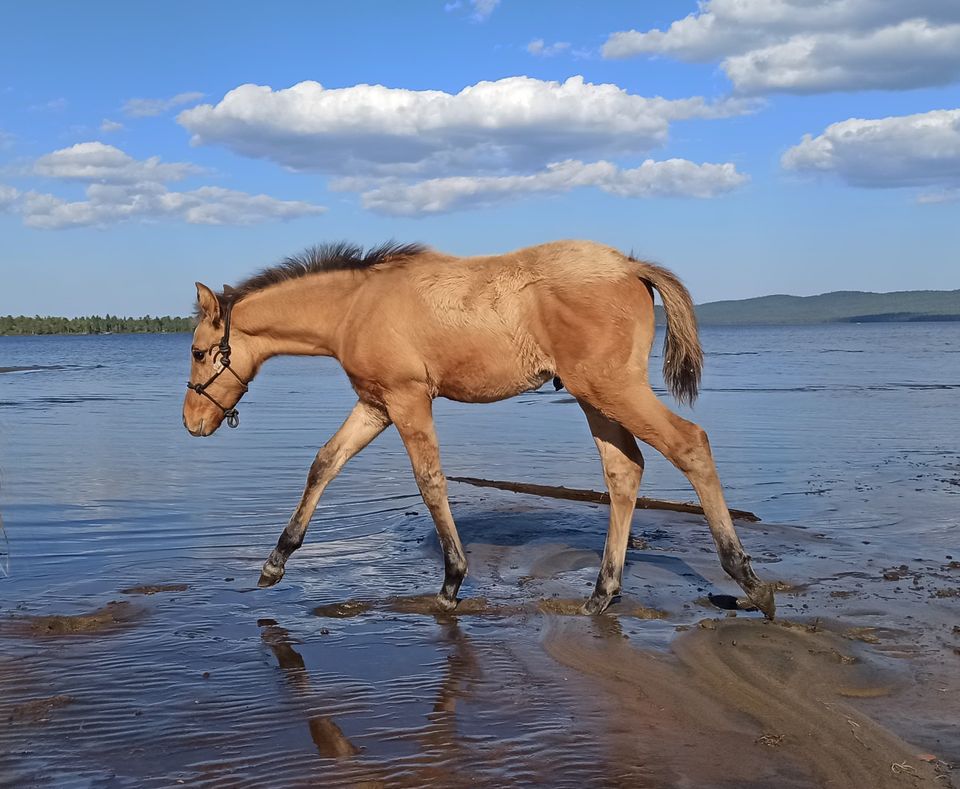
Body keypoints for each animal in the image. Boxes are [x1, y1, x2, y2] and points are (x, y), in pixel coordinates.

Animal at [184, 240, 776, 616]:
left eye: (197, 352)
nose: (192, 423)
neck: (355, 306)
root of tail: (631, 266)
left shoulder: (408, 400)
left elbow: (430, 481)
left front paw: (452, 580)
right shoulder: (375, 404)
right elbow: (324, 463)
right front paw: (274, 562)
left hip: (612, 389)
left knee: (690, 444)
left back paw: (747, 582)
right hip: (595, 397)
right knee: (624, 470)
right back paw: (602, 591)